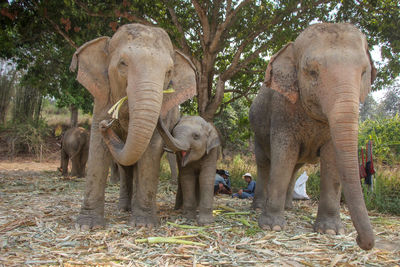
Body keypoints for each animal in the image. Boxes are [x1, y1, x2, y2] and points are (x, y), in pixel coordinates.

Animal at [70, 23, 198, 230]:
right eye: (123, 63)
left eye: (169, 72)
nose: (107, 124)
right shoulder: (102, 97)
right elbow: (98, 147)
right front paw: (87, 226)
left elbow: (150, 151)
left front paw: (144, 224)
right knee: (126, 167)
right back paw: (124, 208)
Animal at [252, 23, 376, 251]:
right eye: (312, 72)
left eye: (364, 72)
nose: (360, 242)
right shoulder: (282, 111)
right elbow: (284, 155)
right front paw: (272, 227)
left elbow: (331, 159)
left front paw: (331, 231)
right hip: (257, 131)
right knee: (265, 163)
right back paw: (257, 208)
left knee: (295, 168)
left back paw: (289, 207)